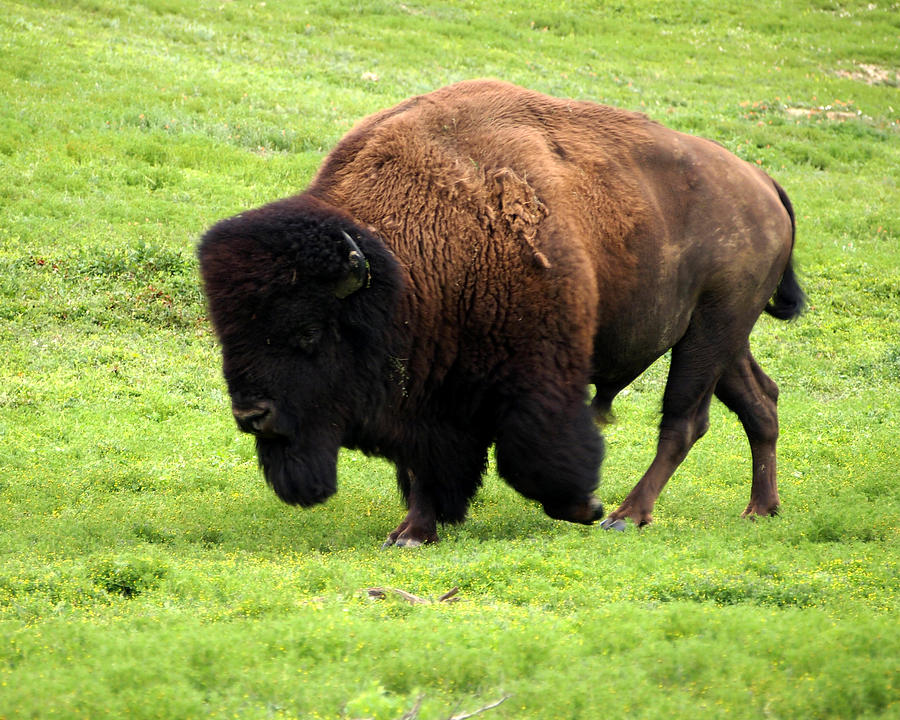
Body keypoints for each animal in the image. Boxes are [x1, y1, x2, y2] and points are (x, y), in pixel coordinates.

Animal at [200, 80, 804, 544]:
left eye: (307, 332)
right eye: (227, 333)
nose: (251, 414)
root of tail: (762, 183)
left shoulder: (533, 375)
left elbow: (532, 452)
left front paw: (581, 507)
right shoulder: (429, 396)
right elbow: (426, 466)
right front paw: (412, 532)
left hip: (711, 329)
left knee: (684, 420)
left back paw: (625, 516)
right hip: (722, 336)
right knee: (759, 402)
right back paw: (760, 509)